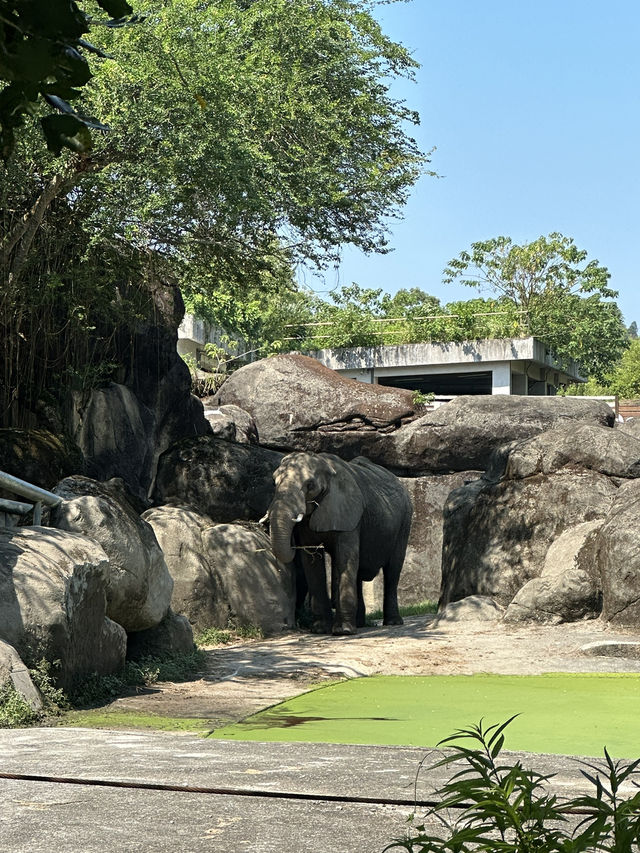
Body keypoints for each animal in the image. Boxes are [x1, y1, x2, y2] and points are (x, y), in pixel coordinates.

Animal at [266, 452, 412, 632]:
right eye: (274, 482)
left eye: (310, 485)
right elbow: (312, 562)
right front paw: (320, 630)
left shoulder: (349, 512)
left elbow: (345, 557)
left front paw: (343, 631)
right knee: (359, 572)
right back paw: (359, 623)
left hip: (405, 520)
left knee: (393, 569)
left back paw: (392, 622)